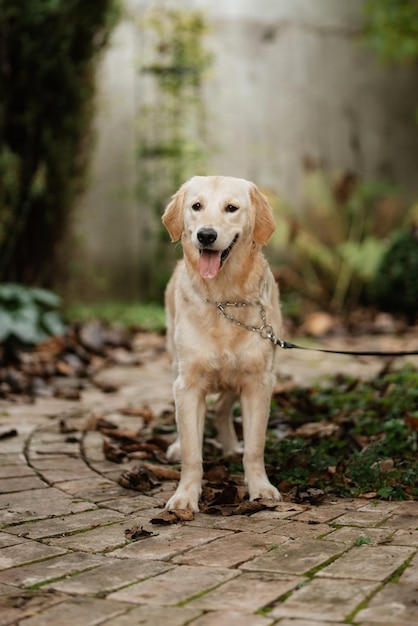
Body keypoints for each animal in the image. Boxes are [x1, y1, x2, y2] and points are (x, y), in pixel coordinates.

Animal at [162, 173, 282, 510]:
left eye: (231, 208)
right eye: (196, 206)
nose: (205, 235)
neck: (224, 300)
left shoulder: (259, 381)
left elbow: (255, 447)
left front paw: (260, 487)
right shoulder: (188, 385)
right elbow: (192, 452)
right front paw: (185, 495)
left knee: (223, 408)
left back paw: (230, 444)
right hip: (174, 363)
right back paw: (176, 445)